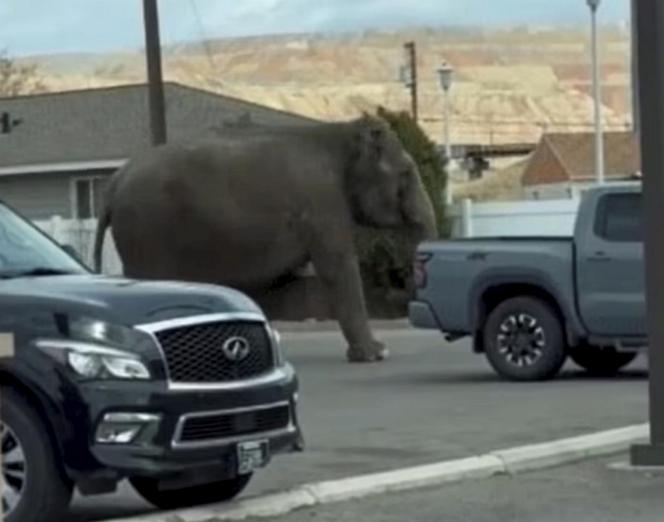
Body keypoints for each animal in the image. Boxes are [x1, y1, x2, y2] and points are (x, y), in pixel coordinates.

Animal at [92, 114, 436, 362]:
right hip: (147, 231)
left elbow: (276, 286)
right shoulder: (321, 202)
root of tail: (114, 182)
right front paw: (376, 354)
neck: (340, 131)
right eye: (406, 173)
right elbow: (338, 267)